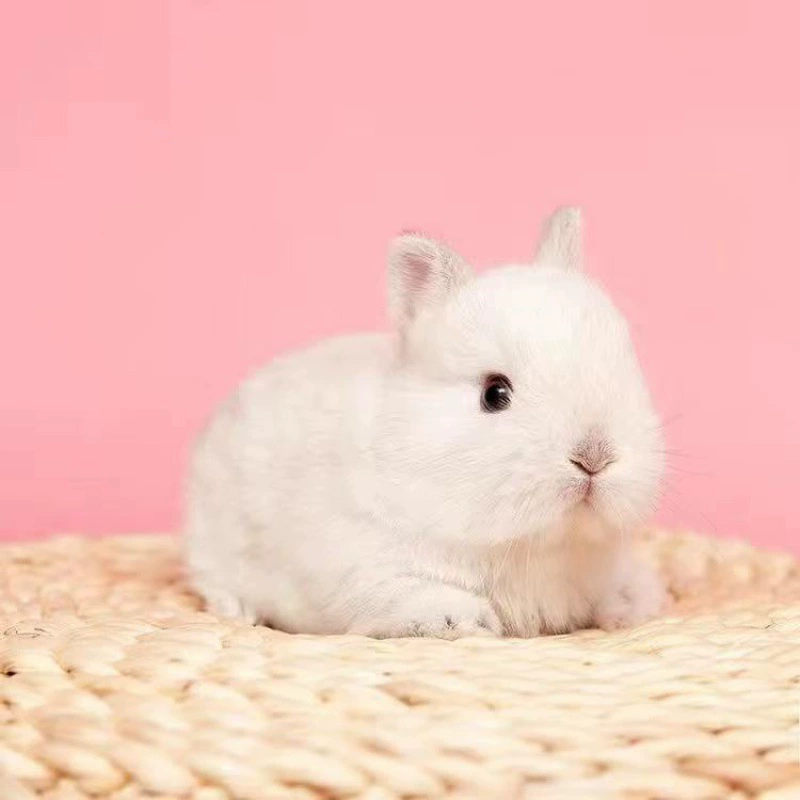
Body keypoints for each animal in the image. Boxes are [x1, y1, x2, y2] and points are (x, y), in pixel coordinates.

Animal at [184, 207, 666, 639]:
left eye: (623, 367)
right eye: (494, 394)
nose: (594, 457)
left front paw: (635, 607)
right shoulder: (362, 570)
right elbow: (413, 595)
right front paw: (464, 621)